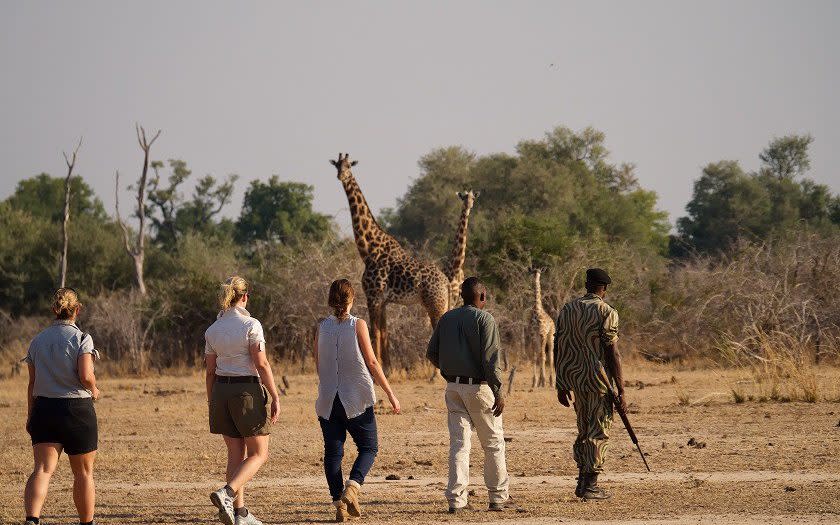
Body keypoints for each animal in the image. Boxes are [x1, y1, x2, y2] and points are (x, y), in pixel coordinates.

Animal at [330, 150, 452, 368]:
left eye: (349, 166)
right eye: (337, 165)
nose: (341, 176)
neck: (369, 249)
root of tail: (446, 282)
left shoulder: (373, 297)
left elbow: (374, 333)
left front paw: (379, 367)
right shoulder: (383, 301)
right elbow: (384, 333)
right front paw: (388, 367)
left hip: (435, 303)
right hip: (445, 303)